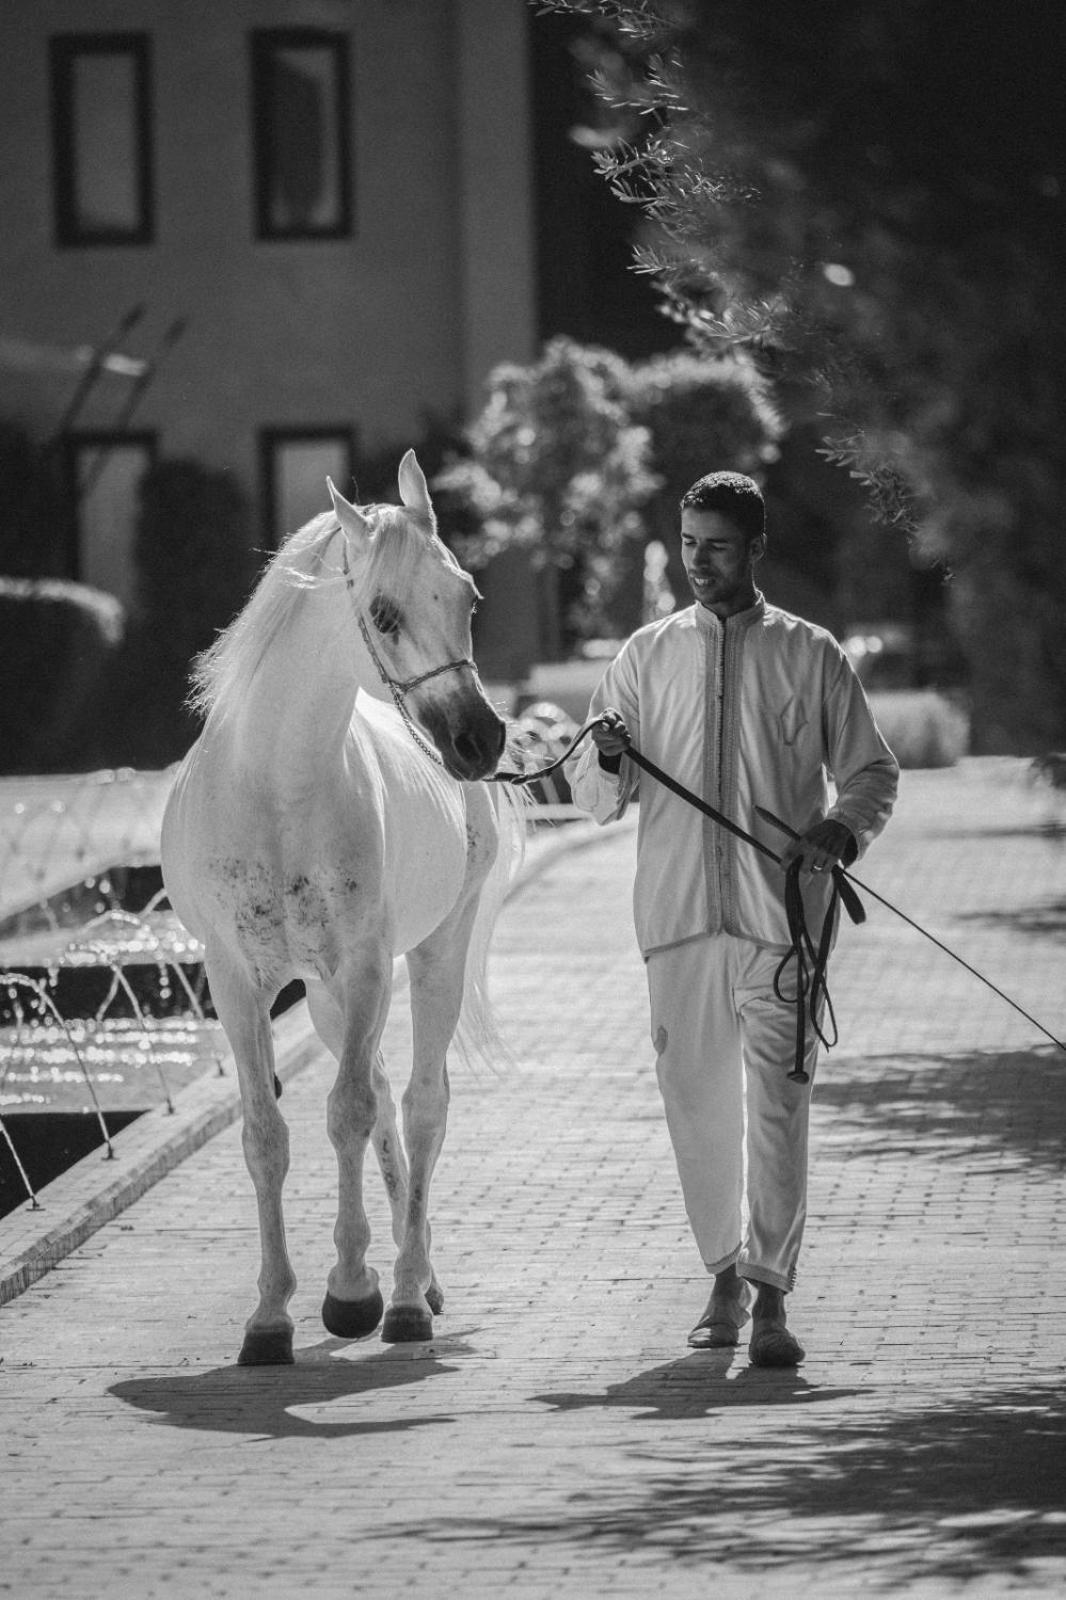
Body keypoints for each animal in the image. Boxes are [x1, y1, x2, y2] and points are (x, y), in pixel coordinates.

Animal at [160, 451, 521, 1363]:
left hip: (429, 958)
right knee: (392, 1096)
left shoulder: (363, 969)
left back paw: (408, 1293)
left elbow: (349, 1112)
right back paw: (416, 1275)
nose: (480, 741)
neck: (275, 790)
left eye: (469, 598)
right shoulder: (238, 981)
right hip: (322, 995)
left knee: (421, 1105)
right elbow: (267, 1134)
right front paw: (270, 1317)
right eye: (384, 614)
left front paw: (354, 1292)